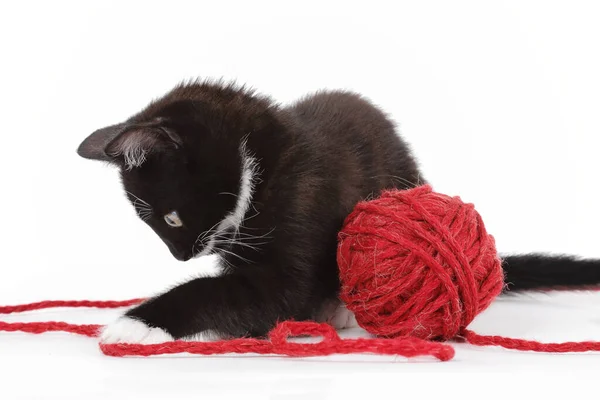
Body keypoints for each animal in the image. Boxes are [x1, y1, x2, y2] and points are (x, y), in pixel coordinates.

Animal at [78, 81, 600, 344]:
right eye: (157, 224)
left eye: (170, 219)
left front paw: (135, 324)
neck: (264, 165)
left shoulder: (301, 215)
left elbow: (236, 295)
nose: (180, 258)